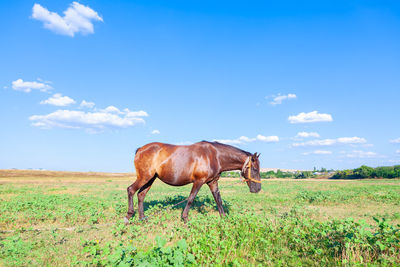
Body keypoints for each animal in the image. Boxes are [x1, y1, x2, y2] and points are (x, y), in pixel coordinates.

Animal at [125, 140, 262, 224]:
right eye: (255, 169)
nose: (258, 189)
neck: (214, 156)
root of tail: (140, 149)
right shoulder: (198, 181)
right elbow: (191, 198)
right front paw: (185, 218)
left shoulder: (212, 182)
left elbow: (218, 199)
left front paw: (224, 218)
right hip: (144, 177)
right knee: (131, 190)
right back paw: (128, 216)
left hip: (150, 179)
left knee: (141, 195)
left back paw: (142, 219)